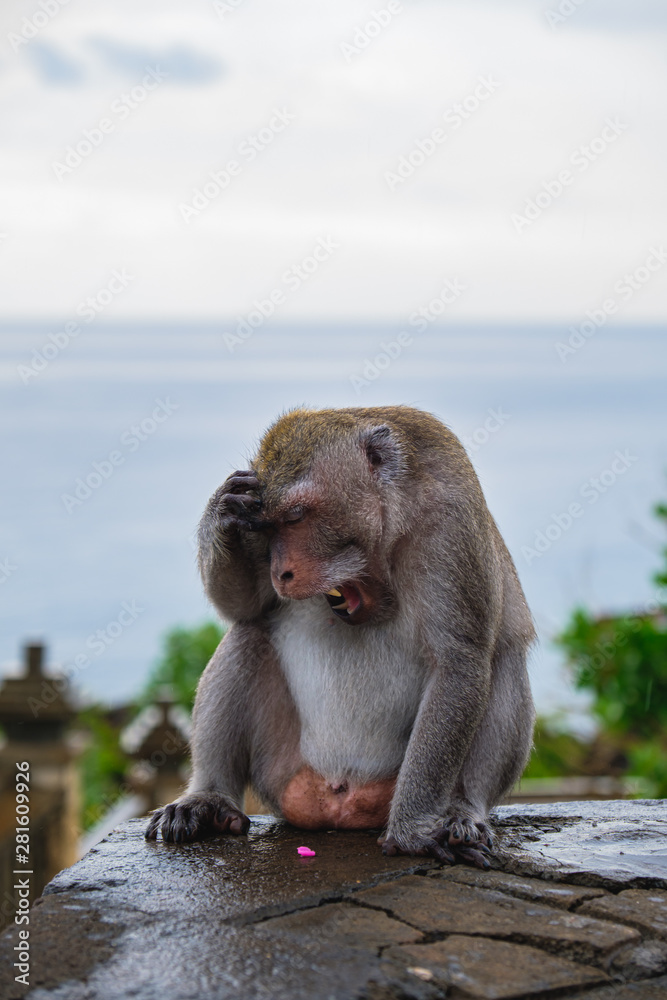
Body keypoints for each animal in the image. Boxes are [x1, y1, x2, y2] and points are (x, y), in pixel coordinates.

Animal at [146, 406, 535, 867]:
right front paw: (222, 509)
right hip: (280, 768)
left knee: (504, 661)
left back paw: (462, 808)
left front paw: (413, 829)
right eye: (266, 527)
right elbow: (245, 606)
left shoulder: (451, 521)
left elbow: (459, 660)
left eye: (296, 516)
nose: (281, 572)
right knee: (248, 635)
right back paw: (209, 799)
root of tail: (340, 805)